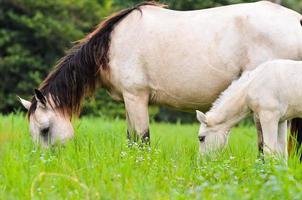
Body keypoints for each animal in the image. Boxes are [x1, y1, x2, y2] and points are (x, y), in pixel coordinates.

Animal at [17, 1, 302, 148]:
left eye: (45, 130)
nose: (46, 163)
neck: (111, 45)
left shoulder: (136, 97)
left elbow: (142, 139)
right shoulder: (129, 101)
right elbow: (131, 139)